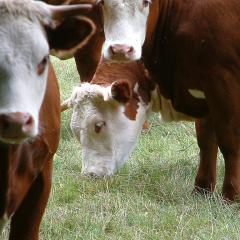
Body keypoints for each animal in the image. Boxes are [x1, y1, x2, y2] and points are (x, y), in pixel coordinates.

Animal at [99, 0, 240, 202]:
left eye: (147, 2)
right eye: (101, 2)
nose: (120, 50)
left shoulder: (223, 81)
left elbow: (229, 140)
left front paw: (231, 195)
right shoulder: (203, 87)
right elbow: (206, 140)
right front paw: (202, 189)